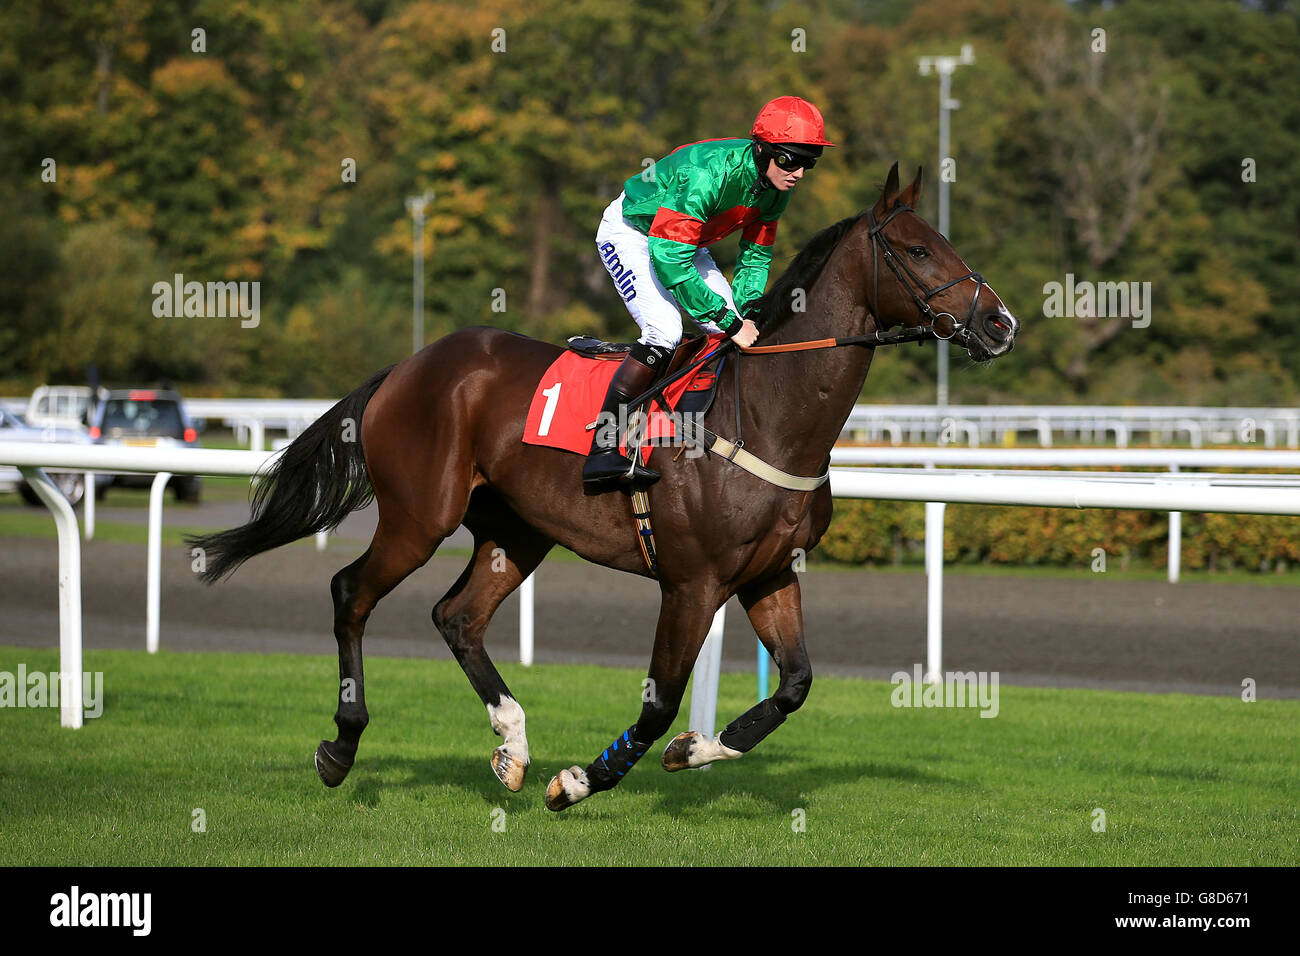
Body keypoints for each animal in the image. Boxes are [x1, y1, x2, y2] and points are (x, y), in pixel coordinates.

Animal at [192, 162, 1019, 806]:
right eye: (918, 248)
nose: (1001, 323)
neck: (767, 413)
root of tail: (409, 364)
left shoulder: (769, 573)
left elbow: (795, 684)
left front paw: (699, 749)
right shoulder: (692, 582)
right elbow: (658, 705)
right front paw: (582, 780)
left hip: (516, 529)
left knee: (457, 617)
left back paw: (512, 747)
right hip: (419, 517)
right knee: (350, 594)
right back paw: (342, 748)